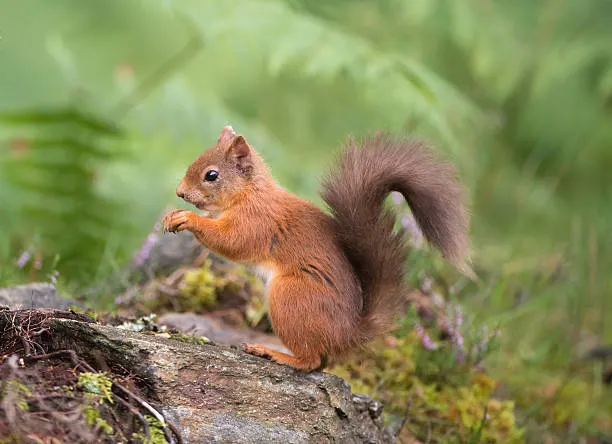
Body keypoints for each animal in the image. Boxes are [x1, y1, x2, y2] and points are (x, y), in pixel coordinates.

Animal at [161, 126, 468, 372]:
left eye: (211, 175)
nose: (179, 192)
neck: (249, 193)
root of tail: (347, 334)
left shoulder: (257, 222)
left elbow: (230, 241)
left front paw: (188, 218)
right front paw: (172, 214)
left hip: (290, 297)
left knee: (311, 361)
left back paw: (274, 353)